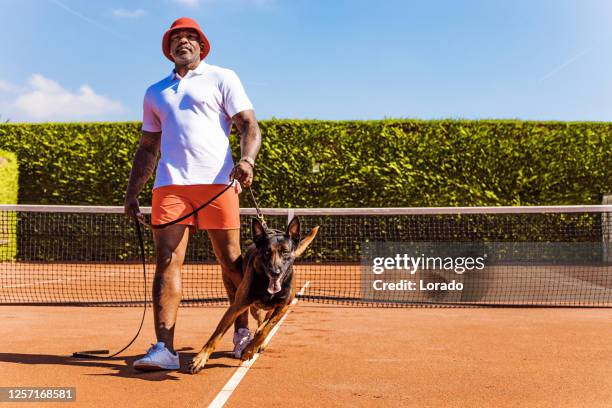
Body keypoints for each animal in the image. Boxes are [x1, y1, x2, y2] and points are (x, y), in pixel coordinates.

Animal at [186, 215, 320, 374]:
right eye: (266, 252)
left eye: (285, 252)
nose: (275, 272)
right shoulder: (236, 307)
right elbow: (216, 335)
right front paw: (200, 359)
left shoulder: (284, 306)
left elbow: (267, 328)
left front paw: (250, 350)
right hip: (253, 308)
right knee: (261, 318)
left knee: (266, 322)